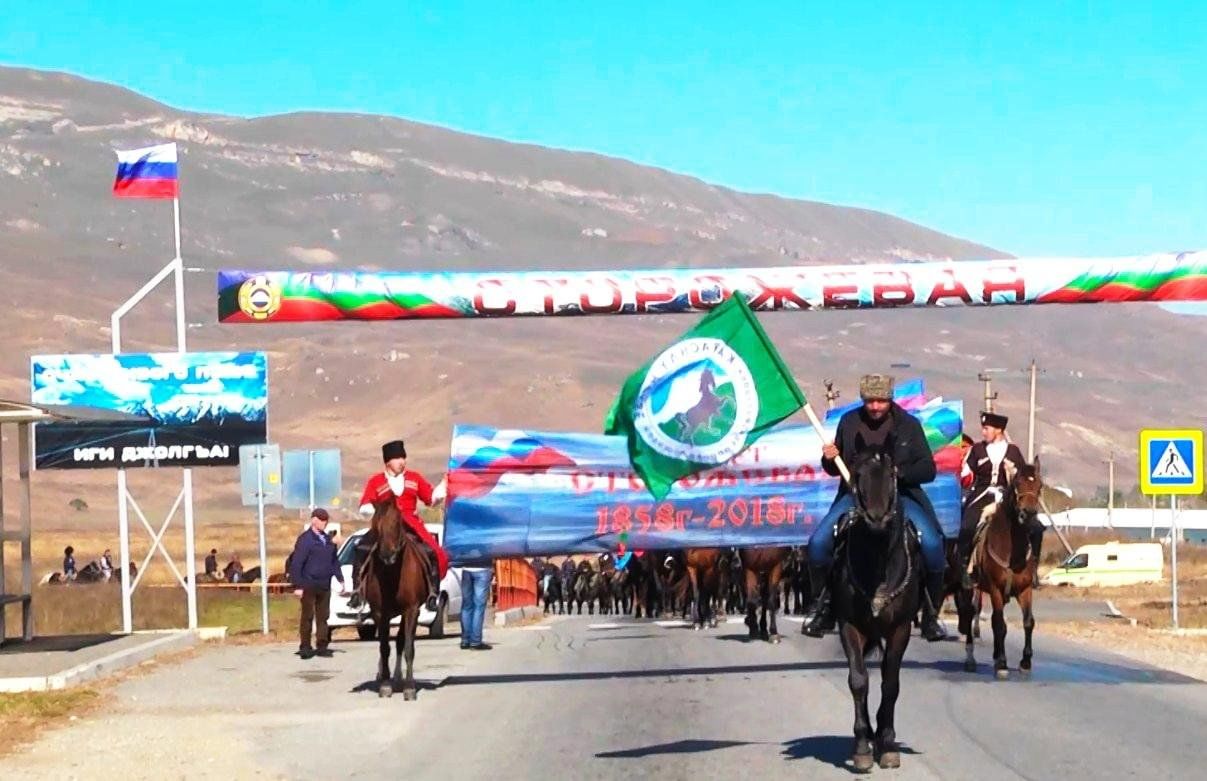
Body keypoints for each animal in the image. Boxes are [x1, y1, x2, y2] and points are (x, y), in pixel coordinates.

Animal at [359, 504, 432, 700]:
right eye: (376, 522)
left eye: (398, 521)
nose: (387, 555)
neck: (392, 573)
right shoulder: (380, 612)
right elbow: (384, 648)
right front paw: (385, 685)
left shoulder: (412, 609)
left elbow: (408, 647)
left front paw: (410, 687)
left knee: (401, 641)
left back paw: (399, 678)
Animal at [830, 449, 922, 772]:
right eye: (857, 474)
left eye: (892, 474)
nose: (877, 518)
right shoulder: (849, 626)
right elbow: (859, 681)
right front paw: (862, 748)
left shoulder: (900, 628)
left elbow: (890, 684)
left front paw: (888, 744)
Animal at [970, 458, 1038, 675]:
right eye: (1017, 484)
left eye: (1039, 485)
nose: (1029, 514)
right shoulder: (995, 589)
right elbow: (998, 623)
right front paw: (1001, 661)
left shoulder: (1025, 589)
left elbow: (1028, 621)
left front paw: (1026, 661)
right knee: (975, 612)